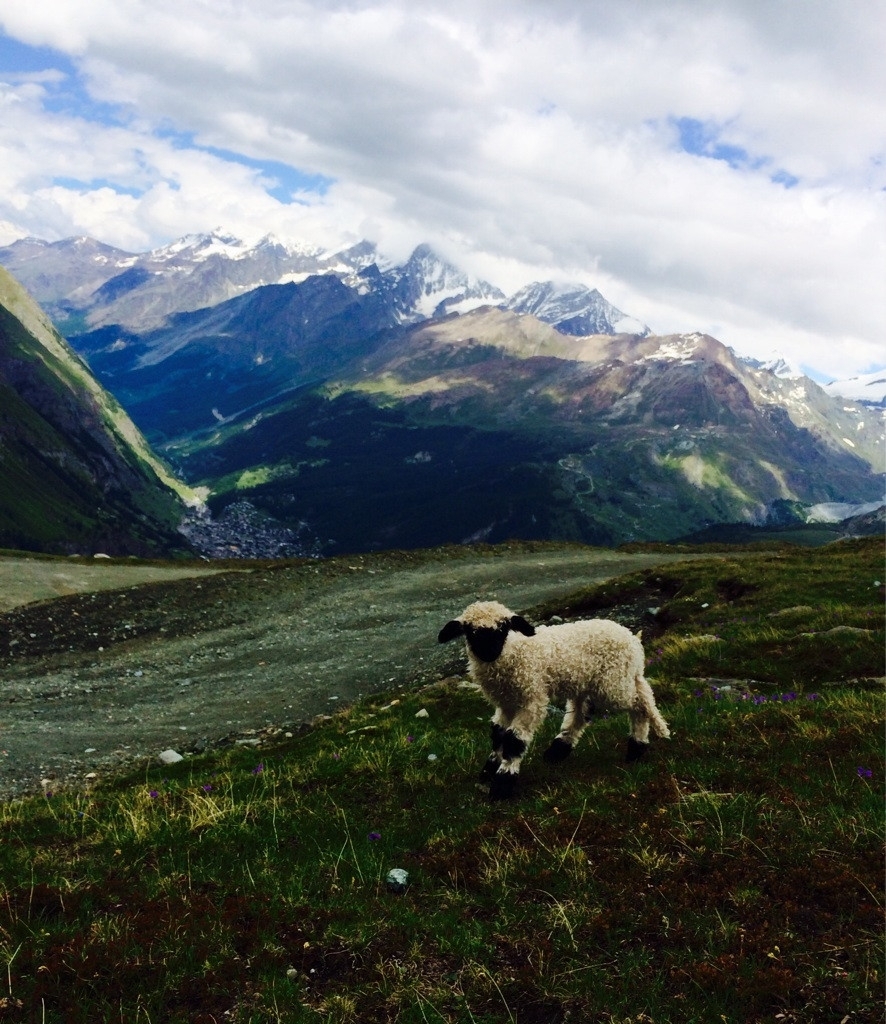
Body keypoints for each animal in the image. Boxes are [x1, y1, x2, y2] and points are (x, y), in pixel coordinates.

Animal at [436, 598, 671, 798]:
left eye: (503, 628)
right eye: (470, 631)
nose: (489, 651)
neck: (513, 652)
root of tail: (632, 639)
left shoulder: (532, 698)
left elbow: (514, 739)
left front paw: (503, 783)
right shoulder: (506, 703)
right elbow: (498, 734)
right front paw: (488, 772)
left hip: (613, 683)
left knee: (639, 705)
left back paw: (636, 748)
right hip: (585, 683)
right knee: (582, 715)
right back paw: (558, 751)